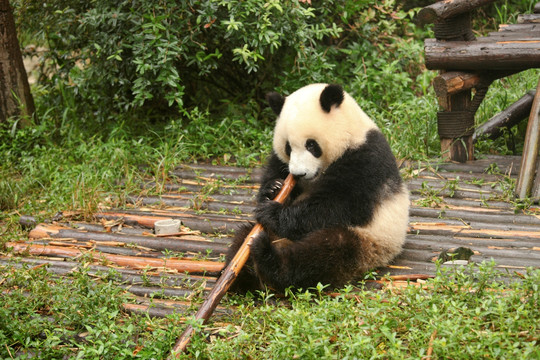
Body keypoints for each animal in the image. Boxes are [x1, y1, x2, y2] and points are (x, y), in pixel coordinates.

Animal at [225, 83, 410, 292]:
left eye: (311, 145)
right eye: (288, 147)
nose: (298, 174)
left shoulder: (366, 161)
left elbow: (337, 206)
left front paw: (272, 213)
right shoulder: (280, 162)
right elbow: (276, 174)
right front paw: (273, 189)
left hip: (369, 241)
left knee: (323, 253)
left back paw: (269, 259)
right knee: (242, 236)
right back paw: (245, 273)